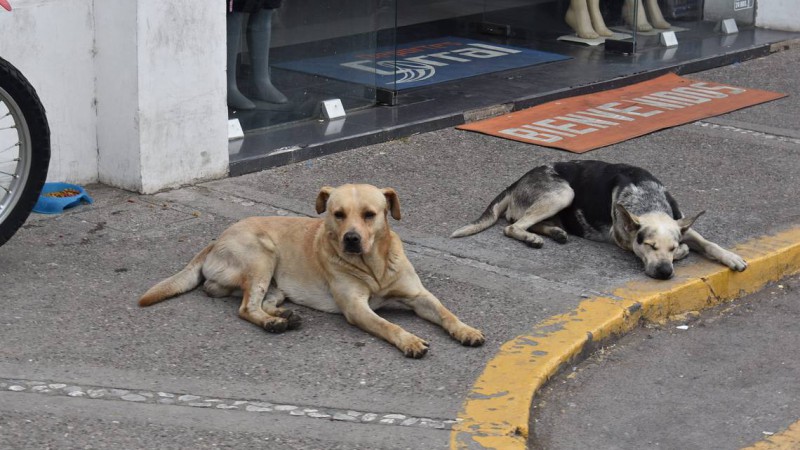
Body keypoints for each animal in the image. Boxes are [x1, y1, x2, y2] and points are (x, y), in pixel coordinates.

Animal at [138, 184, 484, 358]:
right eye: (338, 214)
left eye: (370, 215)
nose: (351, 239)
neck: (373, 266)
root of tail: (215, 241)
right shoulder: (357, 308)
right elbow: (389, 326)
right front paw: (409, 341)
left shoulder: (419, 296)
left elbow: (447, 314)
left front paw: (466, 330)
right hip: (263, 256)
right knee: (245, 307)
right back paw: (273, 323)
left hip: (274, 282)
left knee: (252, 298)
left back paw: (284, 316)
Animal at [454, 160, 748, 280]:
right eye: (649, 246)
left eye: (670, 247)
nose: (665, 274)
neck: (648, 199)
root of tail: (518, 181)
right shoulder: (624, 240)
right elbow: (686, 249)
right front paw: (685, 254)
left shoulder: (681, 223)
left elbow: (707, 242)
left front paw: (732, 257)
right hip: (564, 193)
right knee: (513, 227)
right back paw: (532, 238)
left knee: (525, 222)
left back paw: (553, 232)